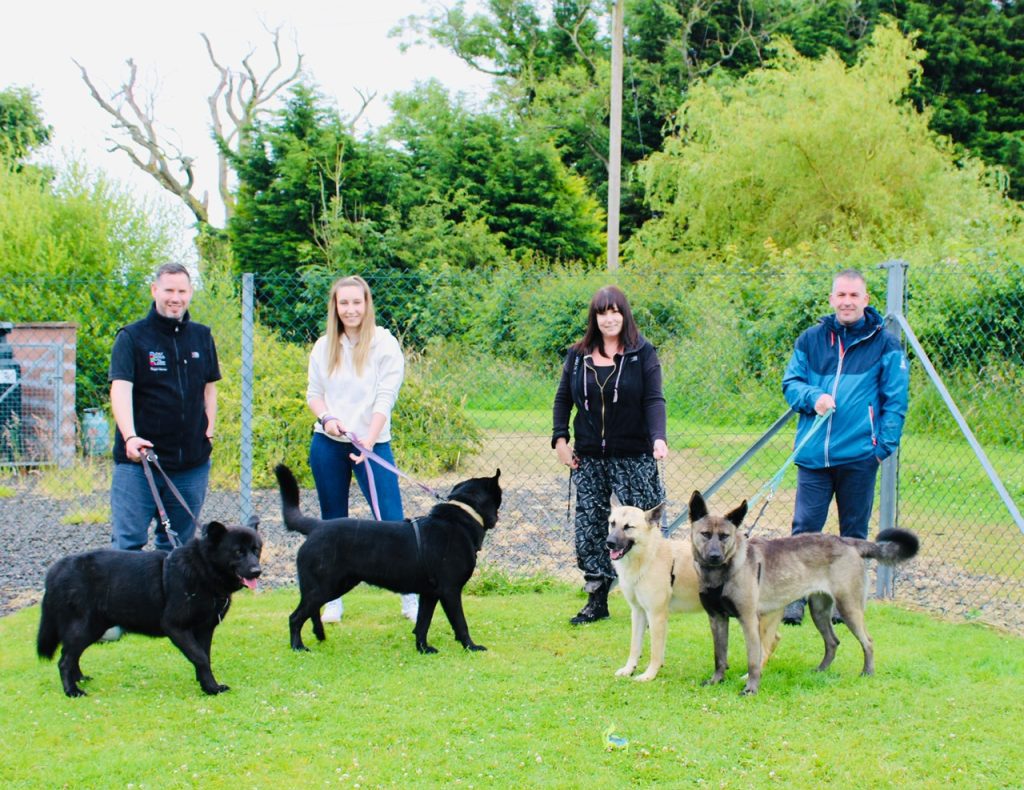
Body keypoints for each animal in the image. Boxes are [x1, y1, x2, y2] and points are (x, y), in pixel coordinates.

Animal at [38, 518, 264, 696]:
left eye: (256, 550)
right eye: (238, 552)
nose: (257, 571)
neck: (202, 569)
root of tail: (55, 570)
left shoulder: (205, 629)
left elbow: (204, 656)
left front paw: (207, 685)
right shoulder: (175, 626)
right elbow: (199, 657)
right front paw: (211, 688)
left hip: (93, 628)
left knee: (71, 654)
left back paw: (79, 679)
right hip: (84, 627)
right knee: (64, 660)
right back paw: (72, 691)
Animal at [274, 463, 501, 655]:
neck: (461, 519)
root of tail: (316, 526)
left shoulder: (429, 594)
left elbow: (422, 623)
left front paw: (423, 648)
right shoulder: (450, 591)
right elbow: (460, 623)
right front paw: (472, 647)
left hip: (333, 586)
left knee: (310, 612)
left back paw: (319, 635)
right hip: (325, 586)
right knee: (295, 617)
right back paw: (298, 647)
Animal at [606, 500, 704, 680]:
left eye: (628, 527)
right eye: (613, 524)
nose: (609, 543)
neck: (648, 557)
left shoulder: (656, 615)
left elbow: (655, 652)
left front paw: (649, 675)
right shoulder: (638, 612)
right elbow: (635, 646)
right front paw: (629, 669)